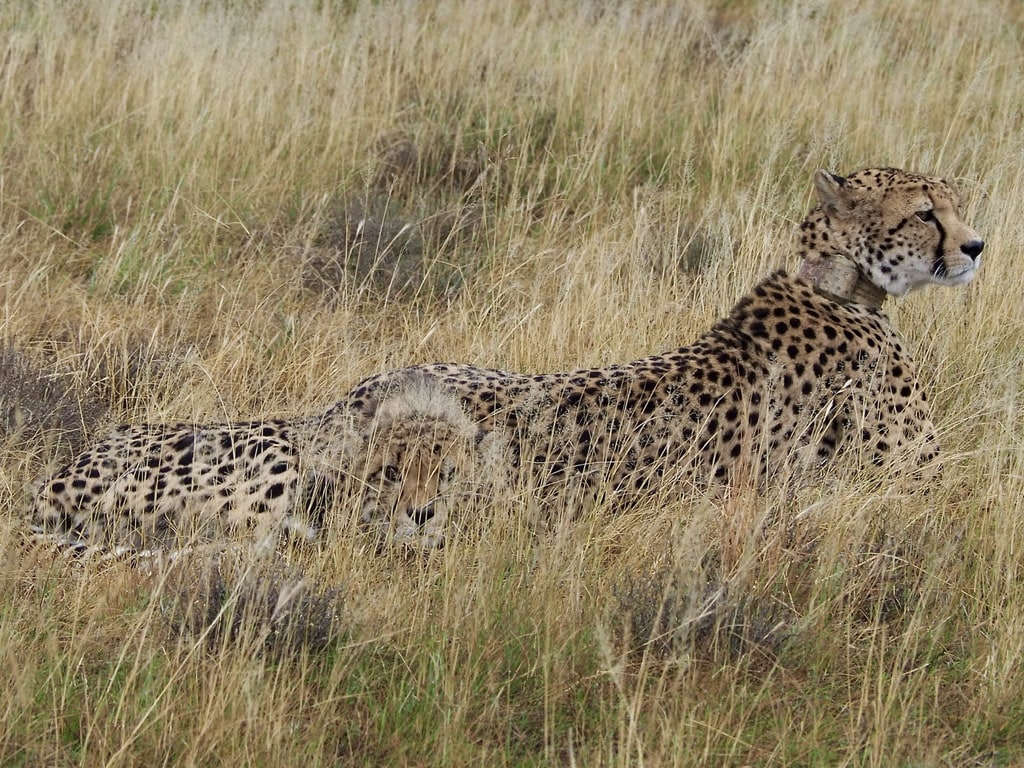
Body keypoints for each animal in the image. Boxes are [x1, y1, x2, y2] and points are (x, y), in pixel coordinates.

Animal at [337, 167, 983, 548]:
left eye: (953, 205)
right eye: (925, 212)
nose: (976, 246)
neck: (837, 283)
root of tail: (350, 396)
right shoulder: (922, 483)